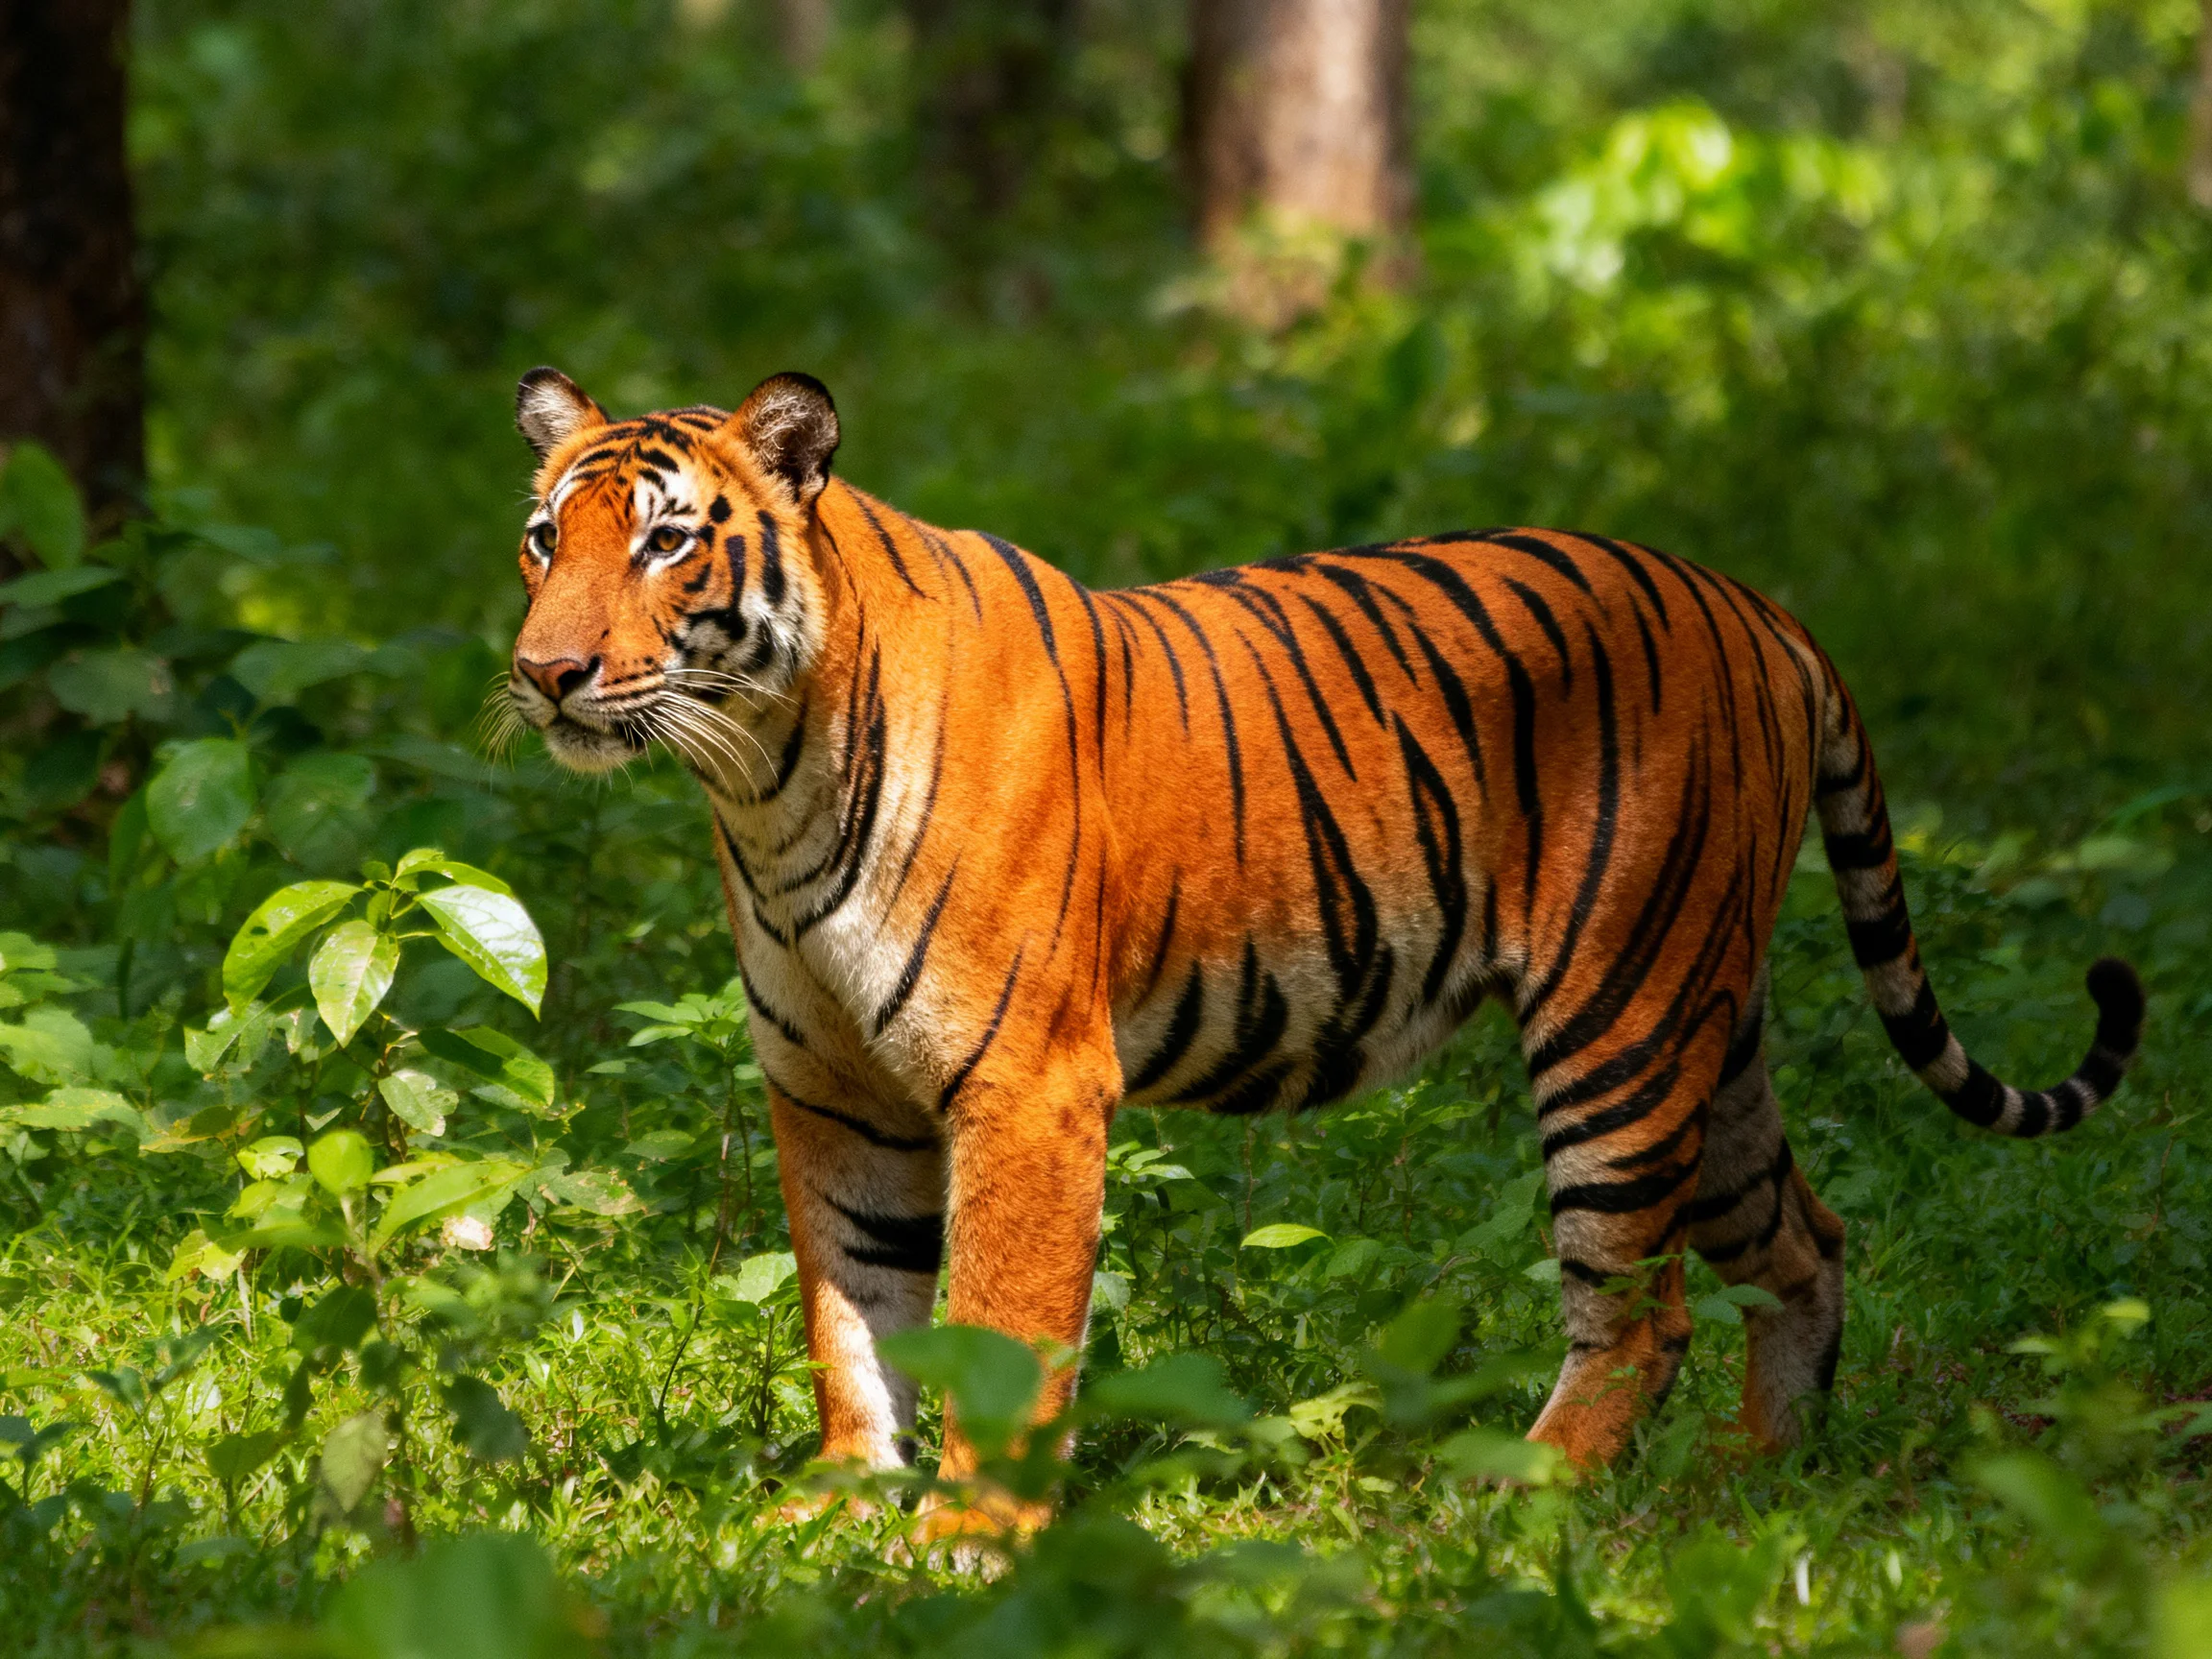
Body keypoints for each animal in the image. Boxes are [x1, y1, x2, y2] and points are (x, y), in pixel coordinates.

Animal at [505, 365, 2144, 1526]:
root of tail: (1755, 604)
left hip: (1618, 1025)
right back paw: (1754, 1481)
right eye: (541, 540)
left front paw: (970, 1538)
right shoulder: (831, 1091)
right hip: (1707, 1025)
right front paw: (847, 1503)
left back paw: (1520, 1495)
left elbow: (998, 1328)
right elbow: (852, 1312)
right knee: (1807, 1241)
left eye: (665, 543)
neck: (765, 777)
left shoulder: (1028, 1090)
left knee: (1641, 1307)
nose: (544, 673)